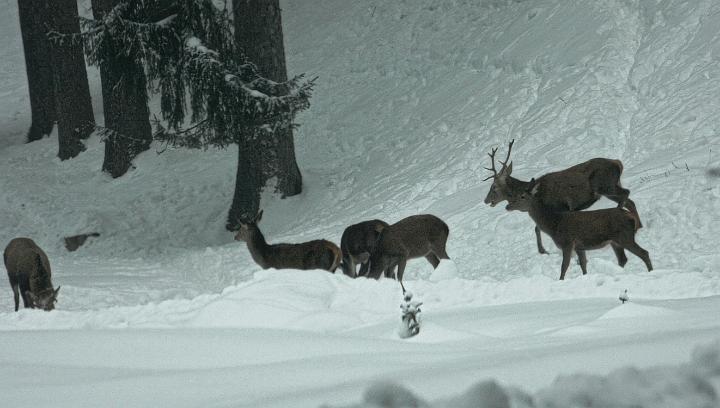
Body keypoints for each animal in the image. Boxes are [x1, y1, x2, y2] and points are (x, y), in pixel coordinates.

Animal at [483, 139, 642, 254]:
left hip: (605, 185)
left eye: (493, 186)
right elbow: (537, 228)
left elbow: (539, 228)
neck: (537, 195)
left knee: (626, 194)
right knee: (630, 200)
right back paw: (638, 225)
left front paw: (543, 250)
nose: (485, 200)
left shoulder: (560, 207)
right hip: (609, 188)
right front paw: (542, 251)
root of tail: (617, 163)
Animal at [507, 179, 652, 280]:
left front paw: (560, 280)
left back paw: (651, 271)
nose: (507, 206)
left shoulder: (567, 242)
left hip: (624, 236)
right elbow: (583, 264)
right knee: (623, 259)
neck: (554, 225)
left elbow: (564, 266)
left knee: (644, 253)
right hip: (615, 241)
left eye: (522, 196)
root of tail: (631, 217)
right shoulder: (579, 246)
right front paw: (585, 277)